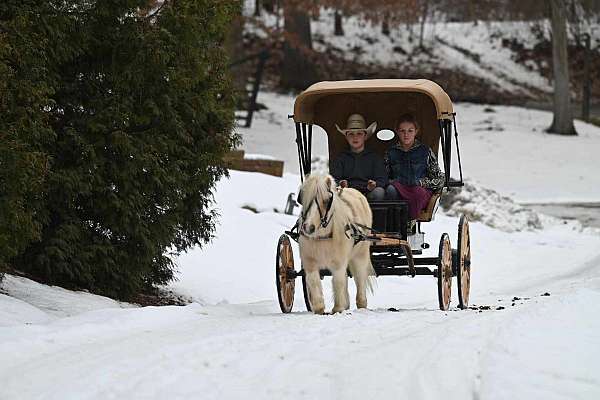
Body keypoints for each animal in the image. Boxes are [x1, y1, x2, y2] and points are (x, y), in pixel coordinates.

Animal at [296, 173, 376, 314]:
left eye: (327, 200)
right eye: (303, 198)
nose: (308, 227)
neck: (322, 236)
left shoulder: (339, 263)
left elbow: (338, 282)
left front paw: (338, 309)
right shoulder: (310, 263)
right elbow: (314, 282)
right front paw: (319, 309)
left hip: (360, 255)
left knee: (360, 277)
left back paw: (361, 305)